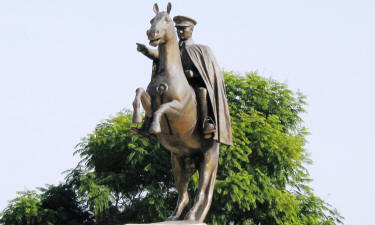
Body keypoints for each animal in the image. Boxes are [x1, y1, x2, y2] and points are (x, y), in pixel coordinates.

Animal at [133, 2, 219, 223]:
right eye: (151, 20)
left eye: (167, 20)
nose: (151, 33)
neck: (169, 73)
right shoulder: (151, 101)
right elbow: (139, 92)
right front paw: (139, 122)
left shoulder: (178, 108)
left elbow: (163, 109)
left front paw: (154, 126)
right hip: (178, 159)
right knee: (183, 194)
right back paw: (174, 217)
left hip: (208, 157)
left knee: (203, 192)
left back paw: (193, 217)